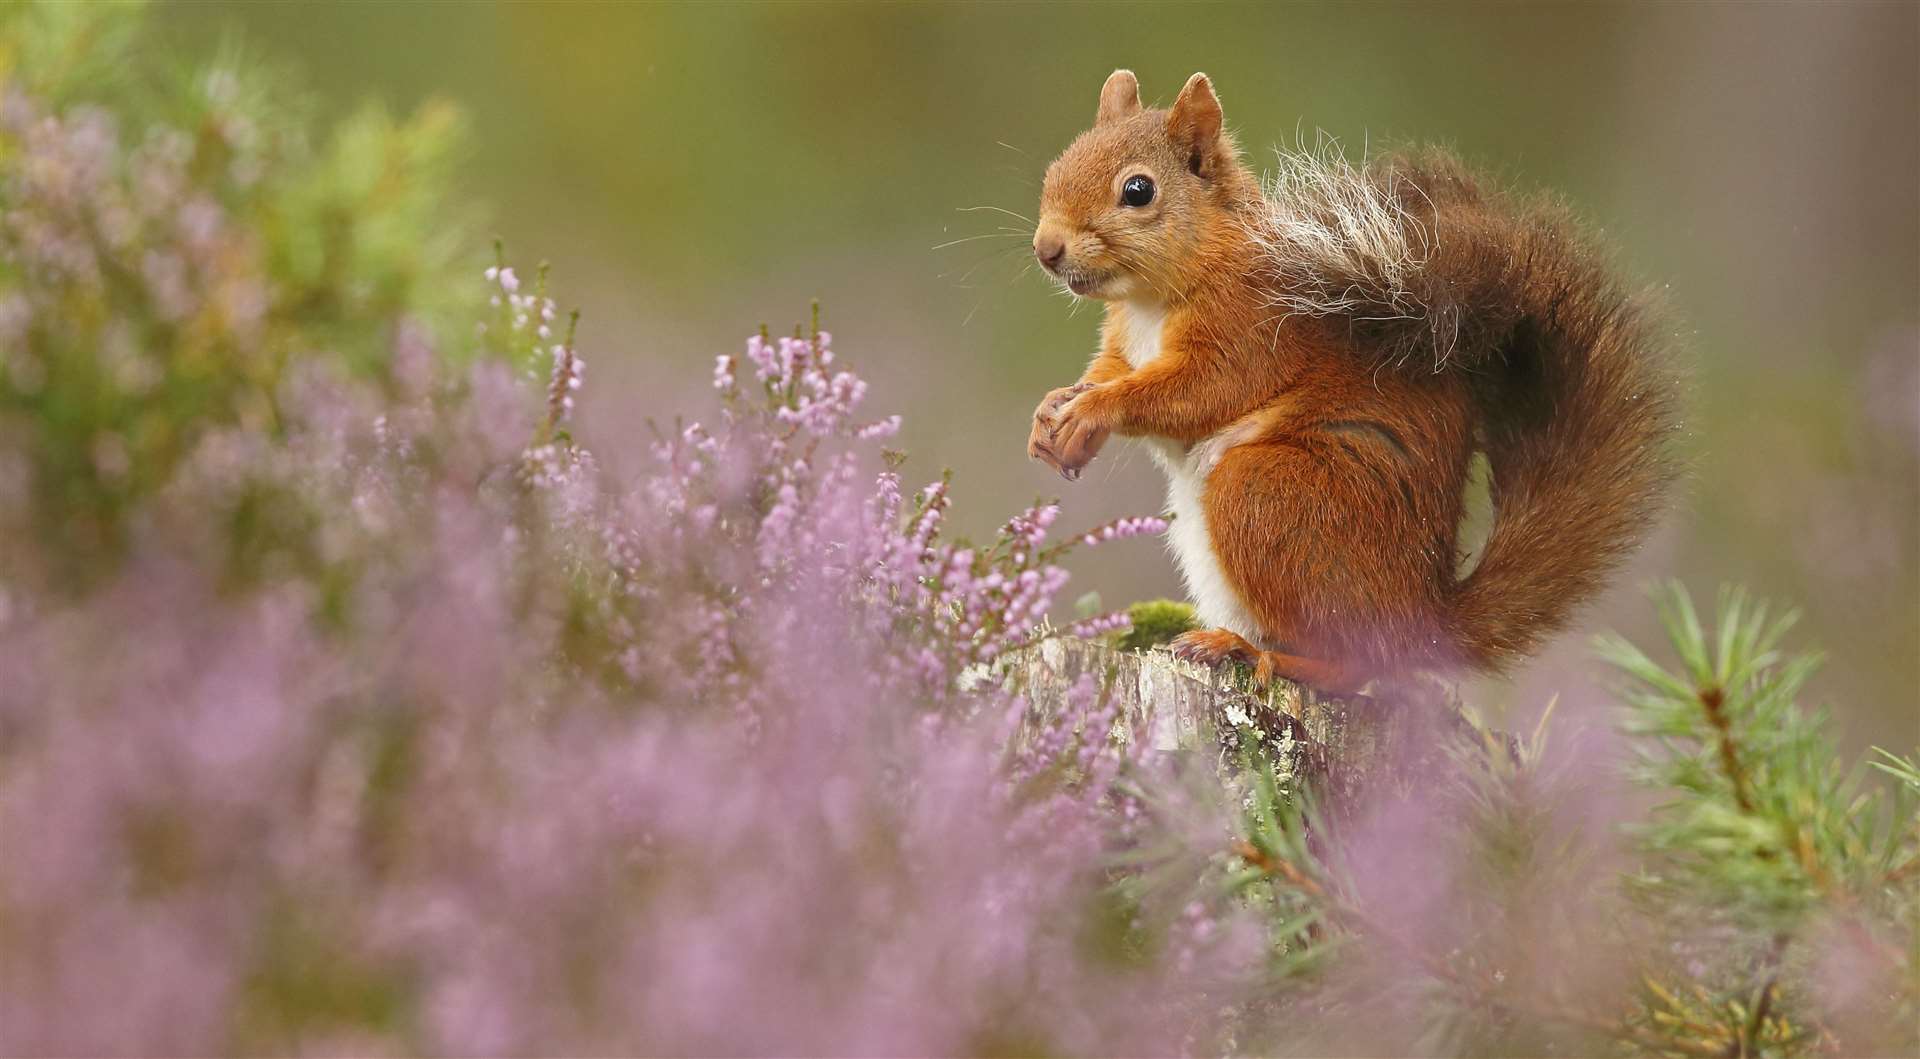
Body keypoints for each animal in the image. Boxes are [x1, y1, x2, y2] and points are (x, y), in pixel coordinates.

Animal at [1029, 70, 1674, 690]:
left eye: (1138, 190)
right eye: (1056, 167)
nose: (1046, 249)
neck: (1149, 300)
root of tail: (1422, 622)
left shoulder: (1250, 329)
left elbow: (1195, 391)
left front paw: (1093, 411)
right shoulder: (1122, 343)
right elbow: (1108, 373)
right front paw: (1053, 414)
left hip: (1268, 496)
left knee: (1357, 665)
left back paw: (1252, 652)